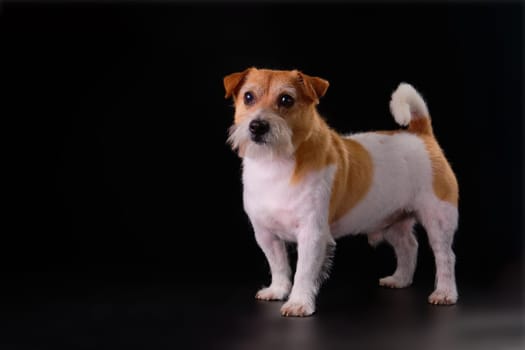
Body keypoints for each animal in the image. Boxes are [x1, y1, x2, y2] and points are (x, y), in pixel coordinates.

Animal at [223, 67, 456, 316]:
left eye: (286, 100)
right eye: (248, 97)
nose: (257, 126)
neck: (275, 163)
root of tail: (421, 135)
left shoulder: (312, 235)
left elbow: (303, 272)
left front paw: (298, 302)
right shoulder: (266, 234)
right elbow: (278, 265)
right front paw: (277, 290)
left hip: (438, 219)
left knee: (445, 256)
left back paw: (445, 293)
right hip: (392, 221)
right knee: (408, 247)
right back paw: (400, 279)